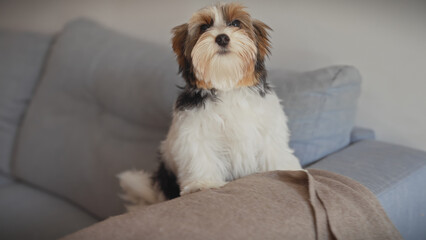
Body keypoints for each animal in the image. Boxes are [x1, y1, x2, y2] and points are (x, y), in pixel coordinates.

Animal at [118, 2, 302, 208]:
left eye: (235, 23)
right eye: (204, 27)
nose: (222, 37)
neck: (226, 85)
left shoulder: (267, 129)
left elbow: (273, 151)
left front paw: (284, 171)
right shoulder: (193, 132)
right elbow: (199, 155)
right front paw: (203, 184)